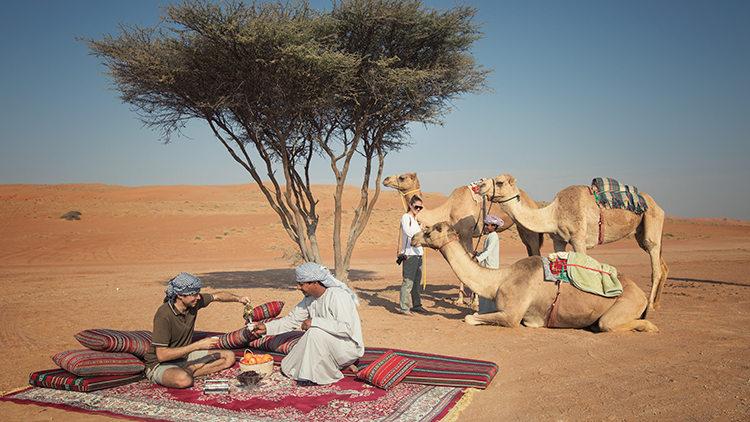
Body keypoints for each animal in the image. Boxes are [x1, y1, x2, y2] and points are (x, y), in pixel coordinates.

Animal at [412, 223, 656, 332]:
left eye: (430, 231)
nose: (413, 238)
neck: (499, 280)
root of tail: (640, 294)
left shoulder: (512, 315)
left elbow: (470, 318)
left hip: (627, 304)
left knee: (610, 324)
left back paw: (649, 326)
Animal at [482, 175, 668, 314]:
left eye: (499, 182)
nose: (482, 184)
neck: (553, 213)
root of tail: (657, 205)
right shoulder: (558, 240)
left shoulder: (579, 238)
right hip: (641, 232)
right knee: (660, 262)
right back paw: (658, 302)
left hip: (652, 220)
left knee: (655, 264)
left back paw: (651, 306)